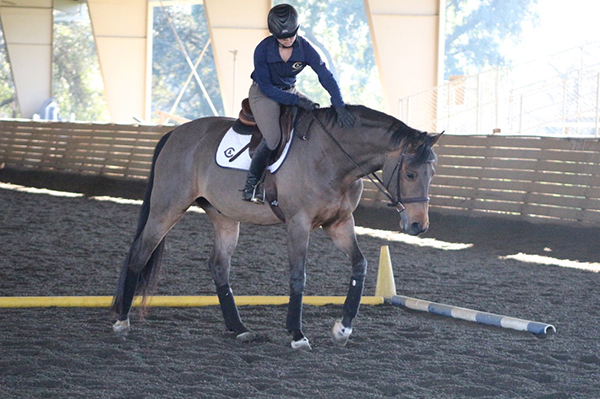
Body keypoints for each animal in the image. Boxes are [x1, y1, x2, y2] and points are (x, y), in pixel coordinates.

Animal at [111, 104, 440, 350]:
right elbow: (298, 276)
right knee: (140, 253)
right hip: (168, 208)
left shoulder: (340, 223)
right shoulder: (298, 223)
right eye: (410, 174)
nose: (418, 225)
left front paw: (342, 329)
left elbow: (360, 265)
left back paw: (239, 328)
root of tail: (174, 133)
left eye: (432, 174)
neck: (332, 157)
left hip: (224, 215)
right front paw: (297, 335)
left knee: (218, 265)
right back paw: (121, 321)